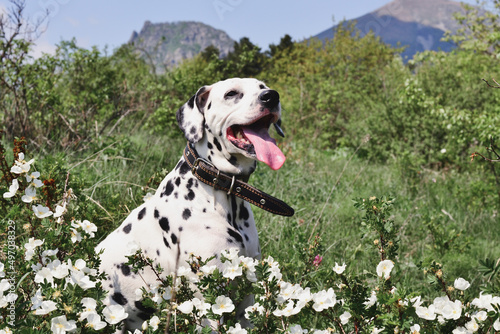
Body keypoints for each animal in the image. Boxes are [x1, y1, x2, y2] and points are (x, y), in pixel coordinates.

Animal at [96, 77, 290, 330]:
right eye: (231, 94)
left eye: (262, 87)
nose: (271, 96)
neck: (223, 192)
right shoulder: (209, 299)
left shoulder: (246, 293)